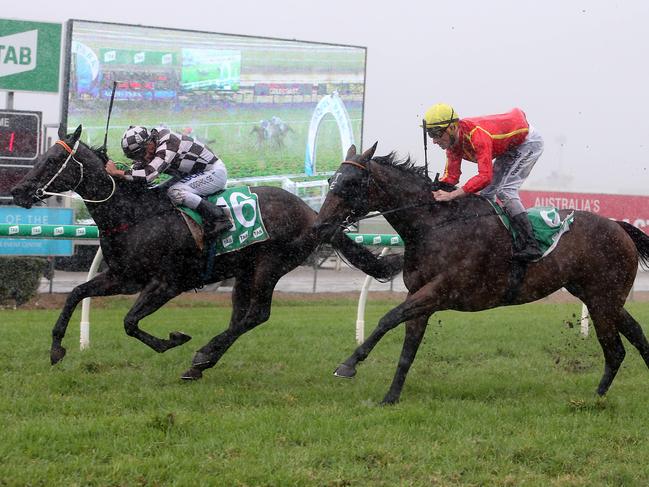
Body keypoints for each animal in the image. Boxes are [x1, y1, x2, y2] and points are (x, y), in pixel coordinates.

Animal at [10, 129, 402, 382]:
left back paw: (201, 355)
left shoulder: (166, 284)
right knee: (241, 316)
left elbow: (130, 322)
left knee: (256, 315)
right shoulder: (123, 277)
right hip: (245, 271)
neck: (135, 214)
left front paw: (173, 340)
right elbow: (76, 294)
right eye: (43, 156)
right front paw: (56, 349)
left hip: (270, 265)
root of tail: (312, 213)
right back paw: (202, 363)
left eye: (55, 159)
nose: (18, 191)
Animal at [314, 143, 648, 406]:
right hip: (599, 297)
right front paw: (391, 397)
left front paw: (348, 364)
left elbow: (387, 319)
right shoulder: (420, 295)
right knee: (634, 336)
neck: (434, 225)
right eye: (331, 179)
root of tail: (619, 227)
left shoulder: (440, 291)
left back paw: (597, 398)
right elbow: (408, 347)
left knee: (615, 349)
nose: (319, 225)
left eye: (351, 182)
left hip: (602, 300)